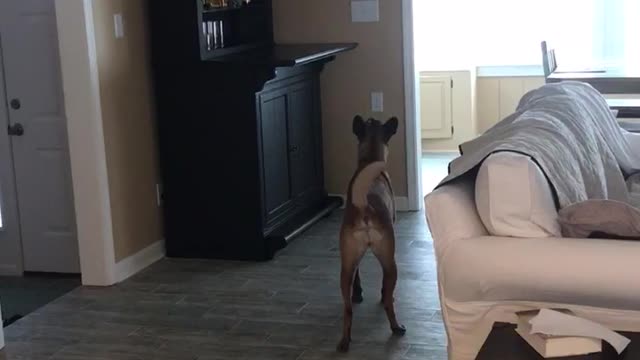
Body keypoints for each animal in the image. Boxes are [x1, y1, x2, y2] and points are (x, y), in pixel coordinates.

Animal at [336, 115, 404, 352]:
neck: (369, 162)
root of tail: (365, 207)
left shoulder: (352, 259)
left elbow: (358, 276)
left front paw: (358, 294)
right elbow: (384, 287)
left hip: (345, 266)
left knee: (347, 309)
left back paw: (345, 341)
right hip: (391, 262)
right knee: (388, 301)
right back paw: (396, 327)